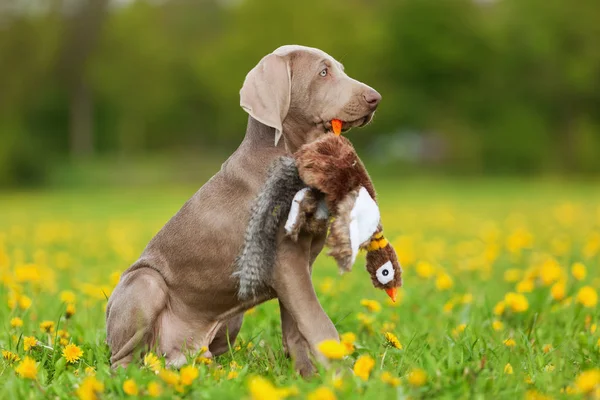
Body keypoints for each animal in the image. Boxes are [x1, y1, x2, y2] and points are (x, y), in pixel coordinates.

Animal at [104, 43, 380, 376]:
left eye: (339, 69)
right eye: (323, 72)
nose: (375, 98)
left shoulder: (302, 262)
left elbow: (296, 328)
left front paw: (307, 377)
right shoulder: (285, 260)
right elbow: (317, 323)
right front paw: (343, 377)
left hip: (230, 319)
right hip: (146, 283)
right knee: (123, 359)